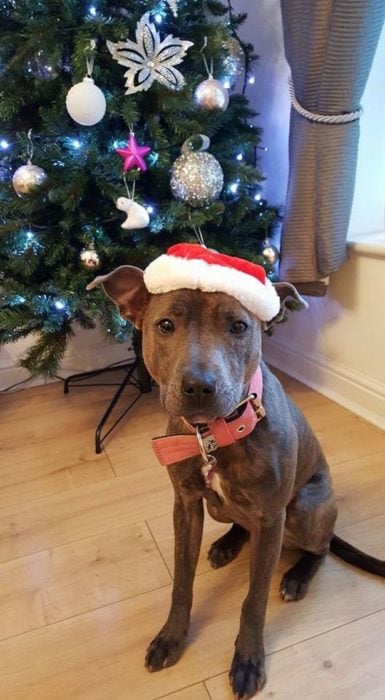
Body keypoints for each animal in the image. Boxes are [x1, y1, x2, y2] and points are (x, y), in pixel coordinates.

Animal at [88, 243, 384, 696]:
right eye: (166, 324)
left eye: (239, 326)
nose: (198, 386)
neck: (215, 436)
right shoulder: (186, 506)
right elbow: (181, 582)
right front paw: (171, 637)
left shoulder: (271, 517)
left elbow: (253, 599)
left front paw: (247, 660)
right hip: (222, 508)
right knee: (242, 524)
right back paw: (227, 544)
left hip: (304, 508)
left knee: (321, 547)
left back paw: (297, 576)